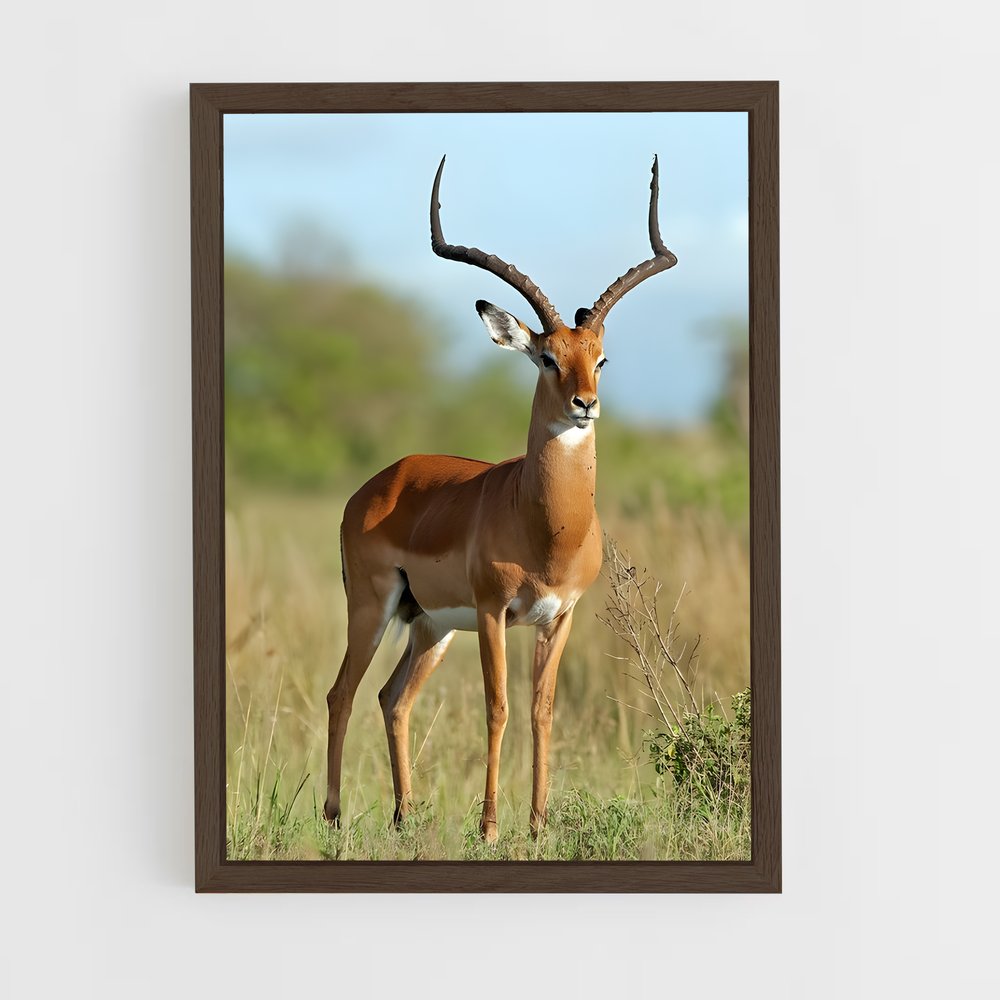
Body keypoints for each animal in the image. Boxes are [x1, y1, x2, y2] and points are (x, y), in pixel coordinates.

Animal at [324, 156, 677, 842]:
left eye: (600, 358)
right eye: (545, 358)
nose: (584, 405)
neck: (546, 529)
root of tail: (377, 483)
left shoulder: (558, 616)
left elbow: (541, 711)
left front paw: (538, 825)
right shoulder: (493, 612)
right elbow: (498, 707)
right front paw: (489, 826)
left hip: (429, 625)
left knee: (392, 699)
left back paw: (404, 817)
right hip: (374, 607)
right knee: (342, 694)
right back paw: (332, 818)